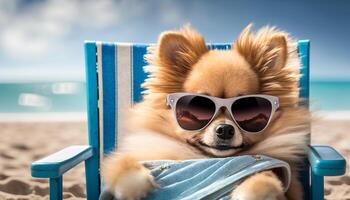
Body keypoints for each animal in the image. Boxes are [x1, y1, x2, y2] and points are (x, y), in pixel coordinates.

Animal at [102, 25, 310, 200]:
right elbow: (118, 162)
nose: (225, 130)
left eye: (247, 108)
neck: (206, 157)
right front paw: (134, 182)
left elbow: (266, 175)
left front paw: (253, 190)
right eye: (200, 105)